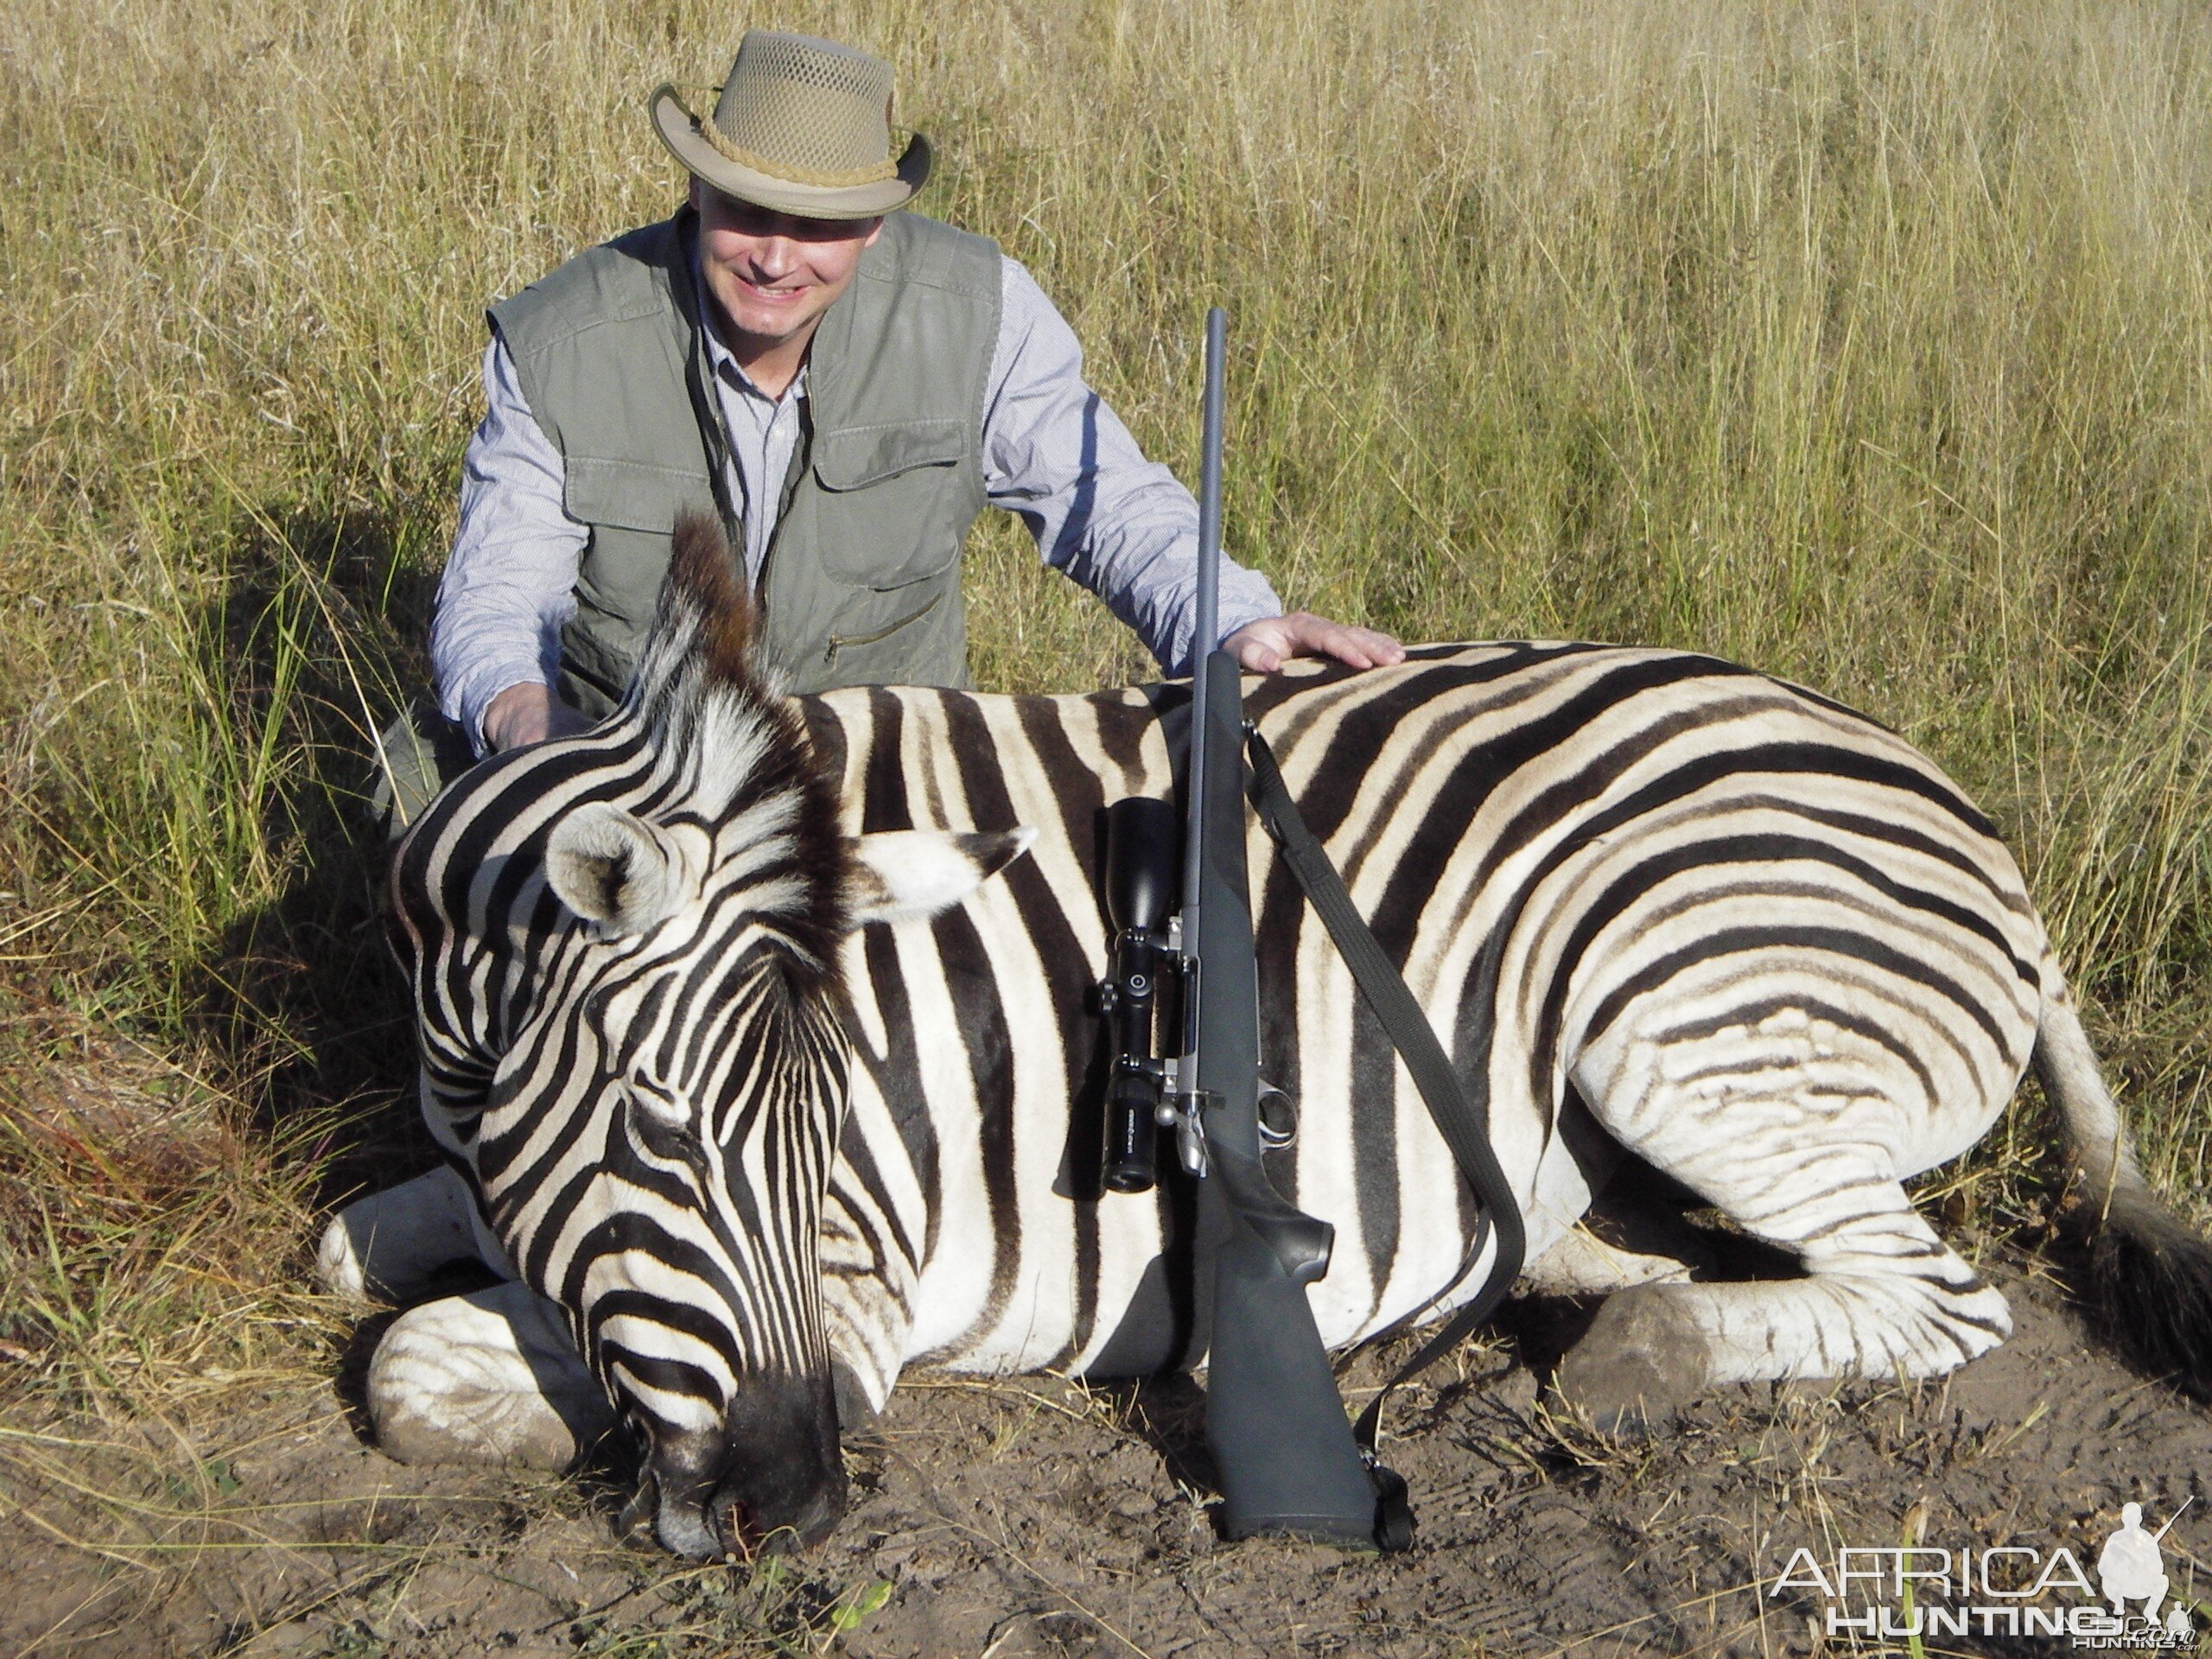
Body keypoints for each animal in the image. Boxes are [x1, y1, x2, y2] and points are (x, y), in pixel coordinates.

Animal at [321, 519, 2212, 1557]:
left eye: (837, 1120)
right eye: (652, 1120)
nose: (797, 1498)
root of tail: (1966, 824)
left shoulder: (854, 1301)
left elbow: (410, 1370)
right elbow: (361, 1251)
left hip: (1675, 1006)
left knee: (1932, 1301)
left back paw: (1620, 1364)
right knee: (1648, 1247)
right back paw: (1538, 1311)